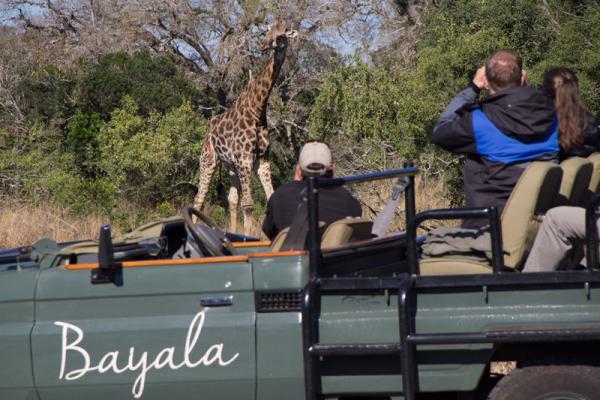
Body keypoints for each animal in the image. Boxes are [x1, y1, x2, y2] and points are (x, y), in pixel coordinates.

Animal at [195, 20, 298, 234]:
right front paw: (249, 236)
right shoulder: (244, 159)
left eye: (282, 34)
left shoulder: (262, 159)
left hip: (230, 166)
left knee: (232, 199)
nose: (264, 45)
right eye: (268, 31)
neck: (257, 110)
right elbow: (249, 204)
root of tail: (208, 134)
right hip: (208, 161)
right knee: (198, 200)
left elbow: (268, 198)